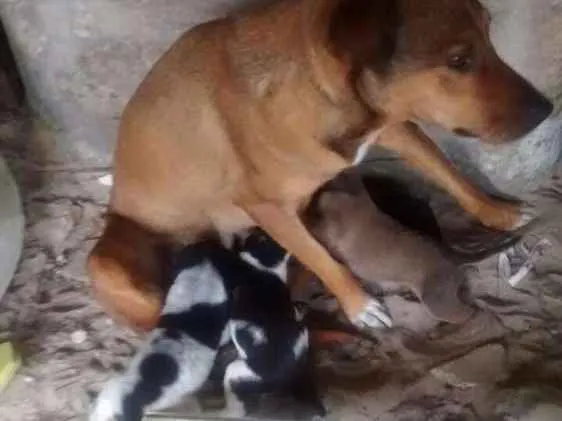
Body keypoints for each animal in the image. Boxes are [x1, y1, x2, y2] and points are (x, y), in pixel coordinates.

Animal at [88, 0, 552, 332]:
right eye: (458, 61)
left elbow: (446, 171)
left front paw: (497, 211)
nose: (547, 109)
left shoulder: (393, 127)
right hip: (110, 268)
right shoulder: (268, 208)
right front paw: (358, 305)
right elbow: (320, 257)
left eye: (490, 34)